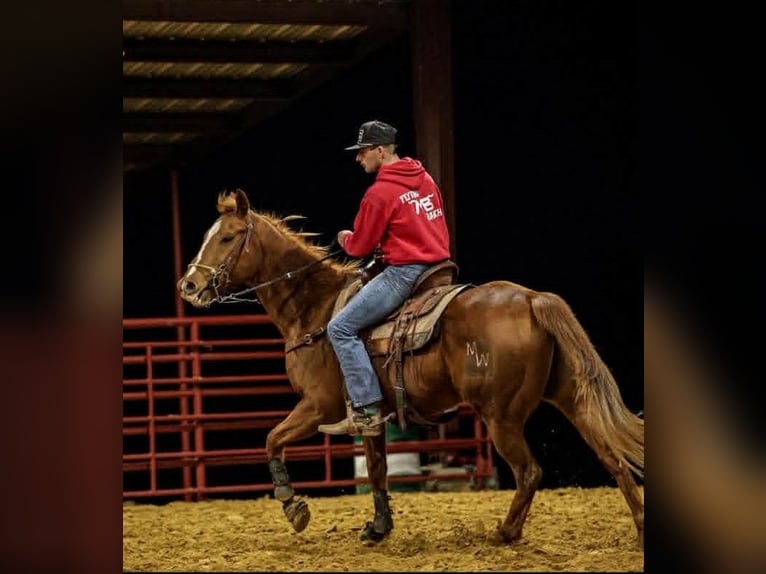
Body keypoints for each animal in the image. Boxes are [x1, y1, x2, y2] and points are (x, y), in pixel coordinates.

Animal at [177, 188, 644, 547]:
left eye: (228, 237)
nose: (189, 285)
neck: (315, 310)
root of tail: (531, 299)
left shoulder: (320, 406)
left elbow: (272, 440)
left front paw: (294, 506)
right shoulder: (368, 415)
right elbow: (378, 470)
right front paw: (378, 528)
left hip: (501, 416)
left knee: (529, 472)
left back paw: (505, 533)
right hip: (570, 397)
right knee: (614, 458)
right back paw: (639, 527)